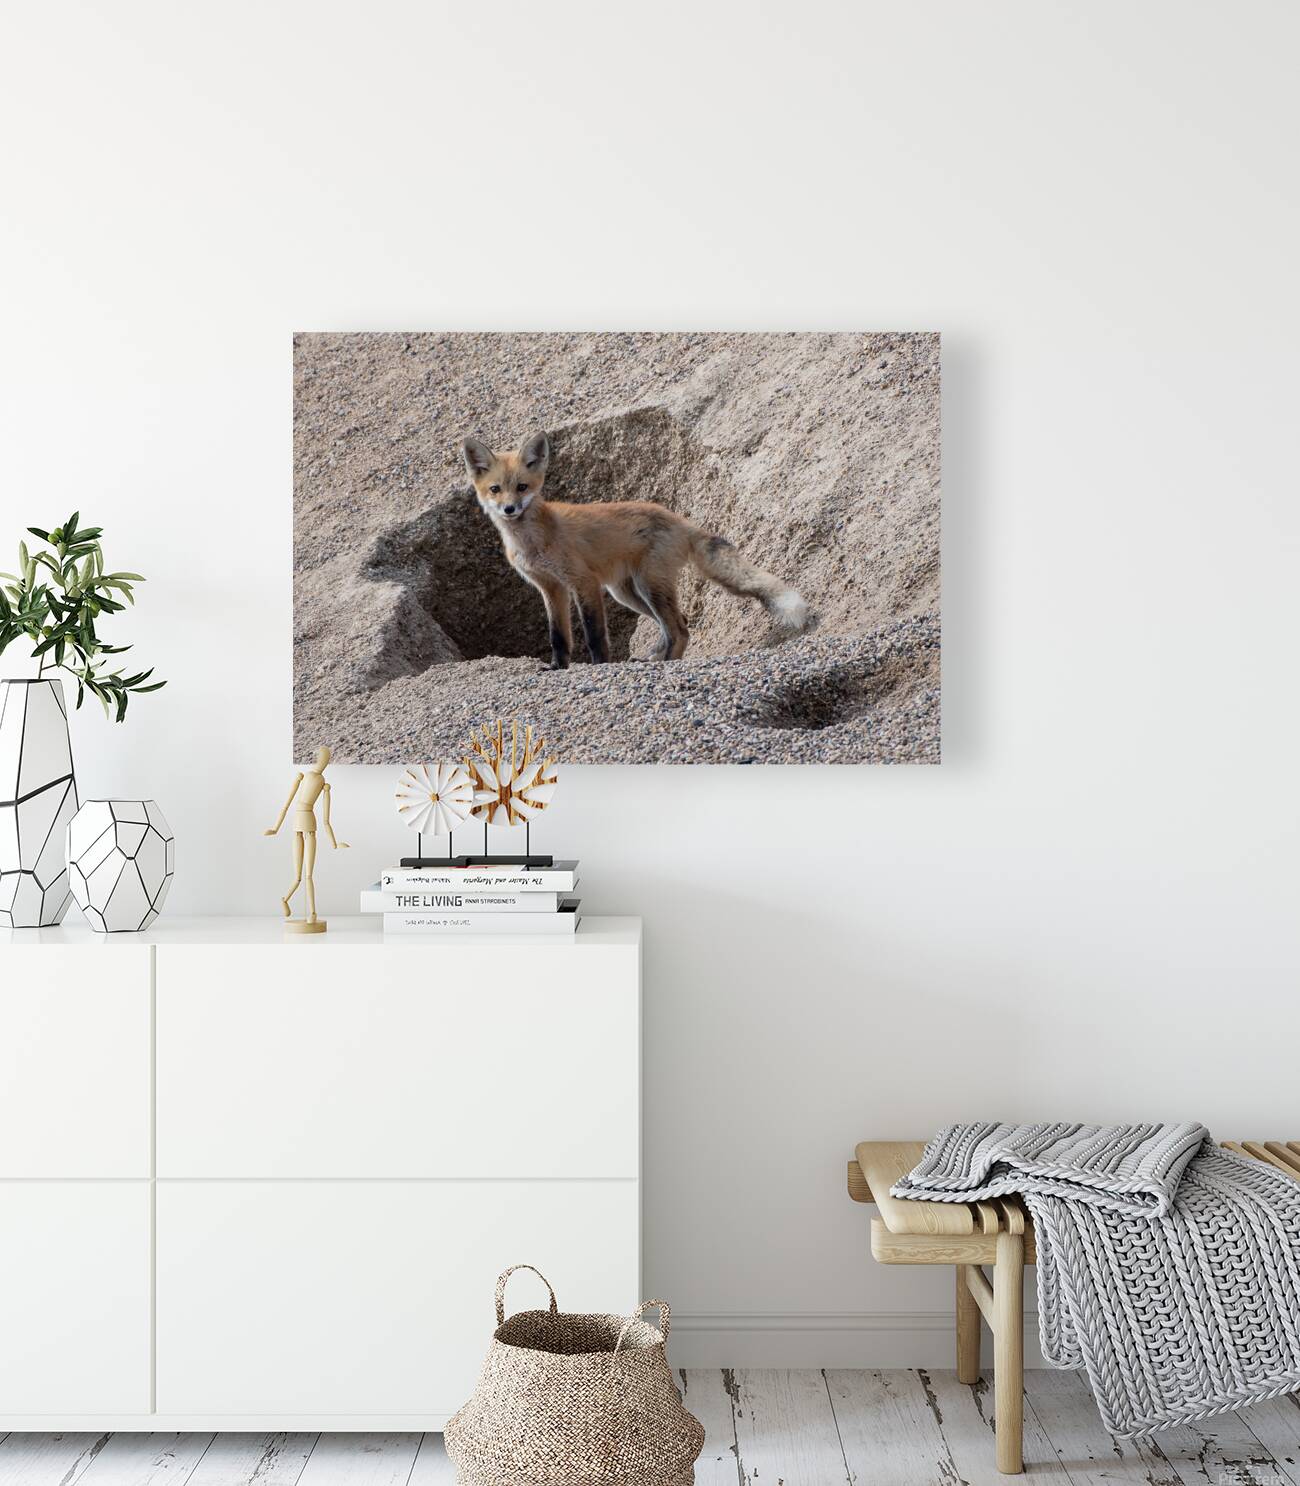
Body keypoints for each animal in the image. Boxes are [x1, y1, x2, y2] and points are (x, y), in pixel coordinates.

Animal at [462, 431, 810, 670]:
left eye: (522, 487)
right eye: (495, 489)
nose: (509, 509)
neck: (534, 540)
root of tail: (679, 519)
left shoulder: (584, 582)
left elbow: (594, 634)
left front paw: (600, 666)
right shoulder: (551, 588)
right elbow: (558, 636)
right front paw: (557, 667)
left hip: (648, 586)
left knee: (680, 629)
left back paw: (667, 662)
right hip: (628, 593)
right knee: (676, 624)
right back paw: (656, 658)